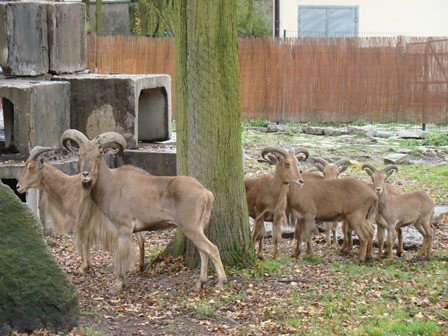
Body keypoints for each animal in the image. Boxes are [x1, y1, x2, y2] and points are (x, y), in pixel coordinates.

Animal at [60, 129, 228, 292]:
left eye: (98, 155)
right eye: (80, 154)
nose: (85, 174)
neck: (111, 184)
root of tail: (207, 193)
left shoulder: (124, 228)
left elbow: (122, 256)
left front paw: (118, 284)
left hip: (191, 228)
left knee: (212, 249)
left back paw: (220, 283)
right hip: (196, 228)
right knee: (203, 252)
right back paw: (200, 283)